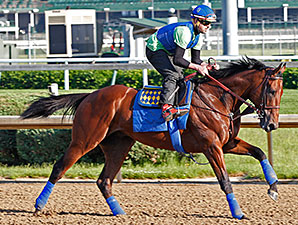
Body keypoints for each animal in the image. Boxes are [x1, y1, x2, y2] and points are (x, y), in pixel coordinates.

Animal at [19, 56, 286, 220]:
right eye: (272, 90)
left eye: (282, 92)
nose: (272, 124)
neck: (217, 99)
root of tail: (88, 95)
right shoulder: (212, 147)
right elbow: (225, 180)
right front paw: (238, 212)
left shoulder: (227, 143)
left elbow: (260, 152)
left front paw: (273, 188)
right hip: (85, 140)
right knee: (59, 167)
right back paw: (39, 206)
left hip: (118, 145)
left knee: (104, 180)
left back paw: (119, 212)